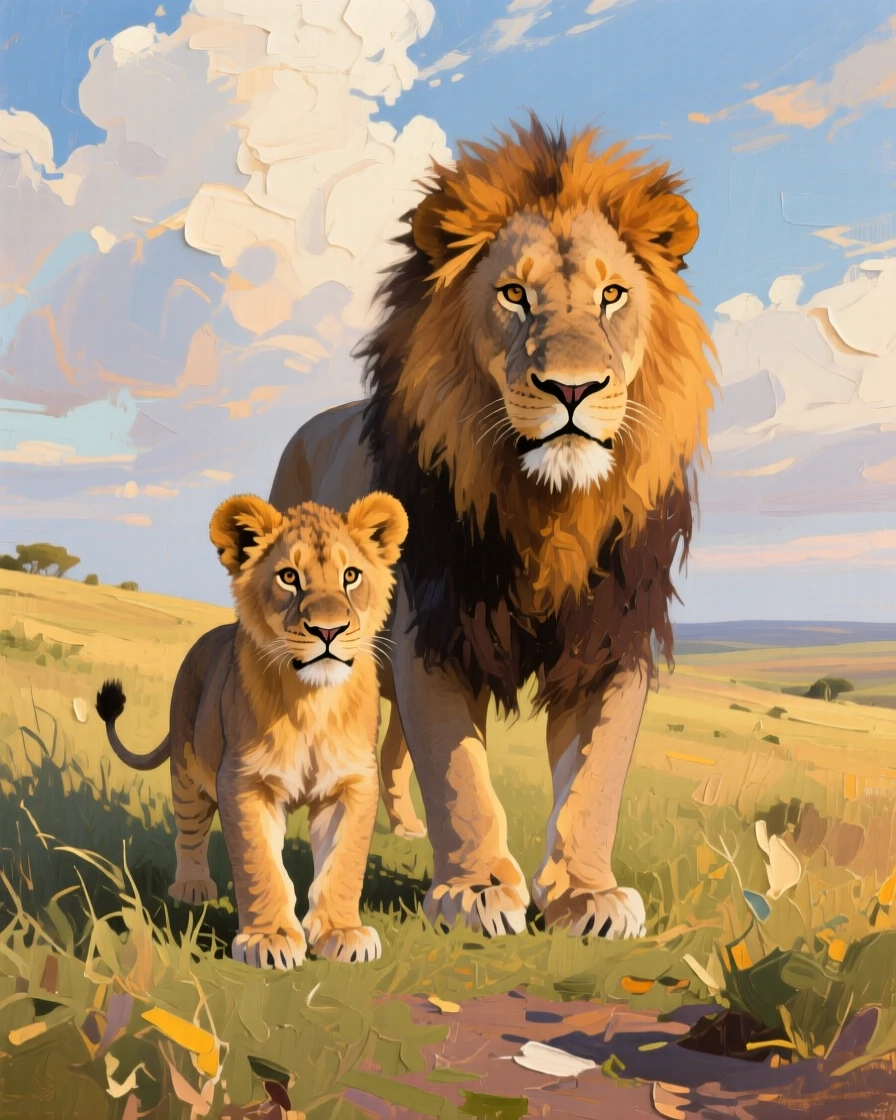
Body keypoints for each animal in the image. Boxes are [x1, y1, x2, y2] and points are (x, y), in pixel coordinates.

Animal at [95, 491, 408, 969]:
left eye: (351, 576)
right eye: (289, 577)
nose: (329, 630)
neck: (312, 701)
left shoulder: (353, 781)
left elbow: (344, 862)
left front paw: (341, 933)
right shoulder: (243, 780)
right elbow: (259, 863)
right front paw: (270, 940)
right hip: (187, 770)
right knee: (189, 831)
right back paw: (191, 887)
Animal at [270, 115, 716, 941]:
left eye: (612, 295)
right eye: (514, 295)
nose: (573, 389)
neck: (549, 507)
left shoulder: (612, 634)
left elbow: (595, 780)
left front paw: (587, 895)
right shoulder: (436, 628)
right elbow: (460, 774)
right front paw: (475, 889)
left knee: (391, 747)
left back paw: (403, 827)